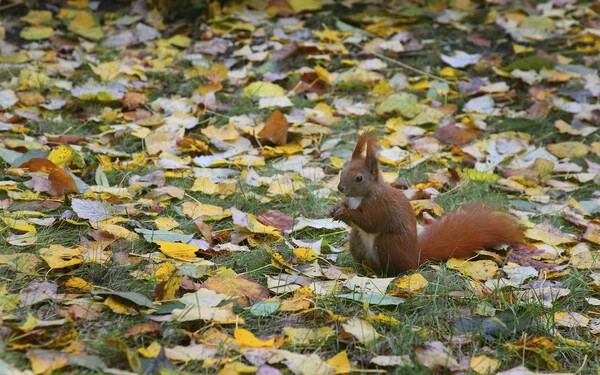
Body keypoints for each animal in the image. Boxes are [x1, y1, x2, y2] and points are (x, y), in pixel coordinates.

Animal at [330, 132, 524, 276]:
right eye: (343, 170)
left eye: (359, 178)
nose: (340, 188)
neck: (359, 196)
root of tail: (414, 258)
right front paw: (335, 209)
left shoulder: (380, 205)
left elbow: (370, 221)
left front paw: (345, 212)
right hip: (356, 241)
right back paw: (364, 269)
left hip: (389, 243)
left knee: (396, 269)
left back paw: (383, 273)